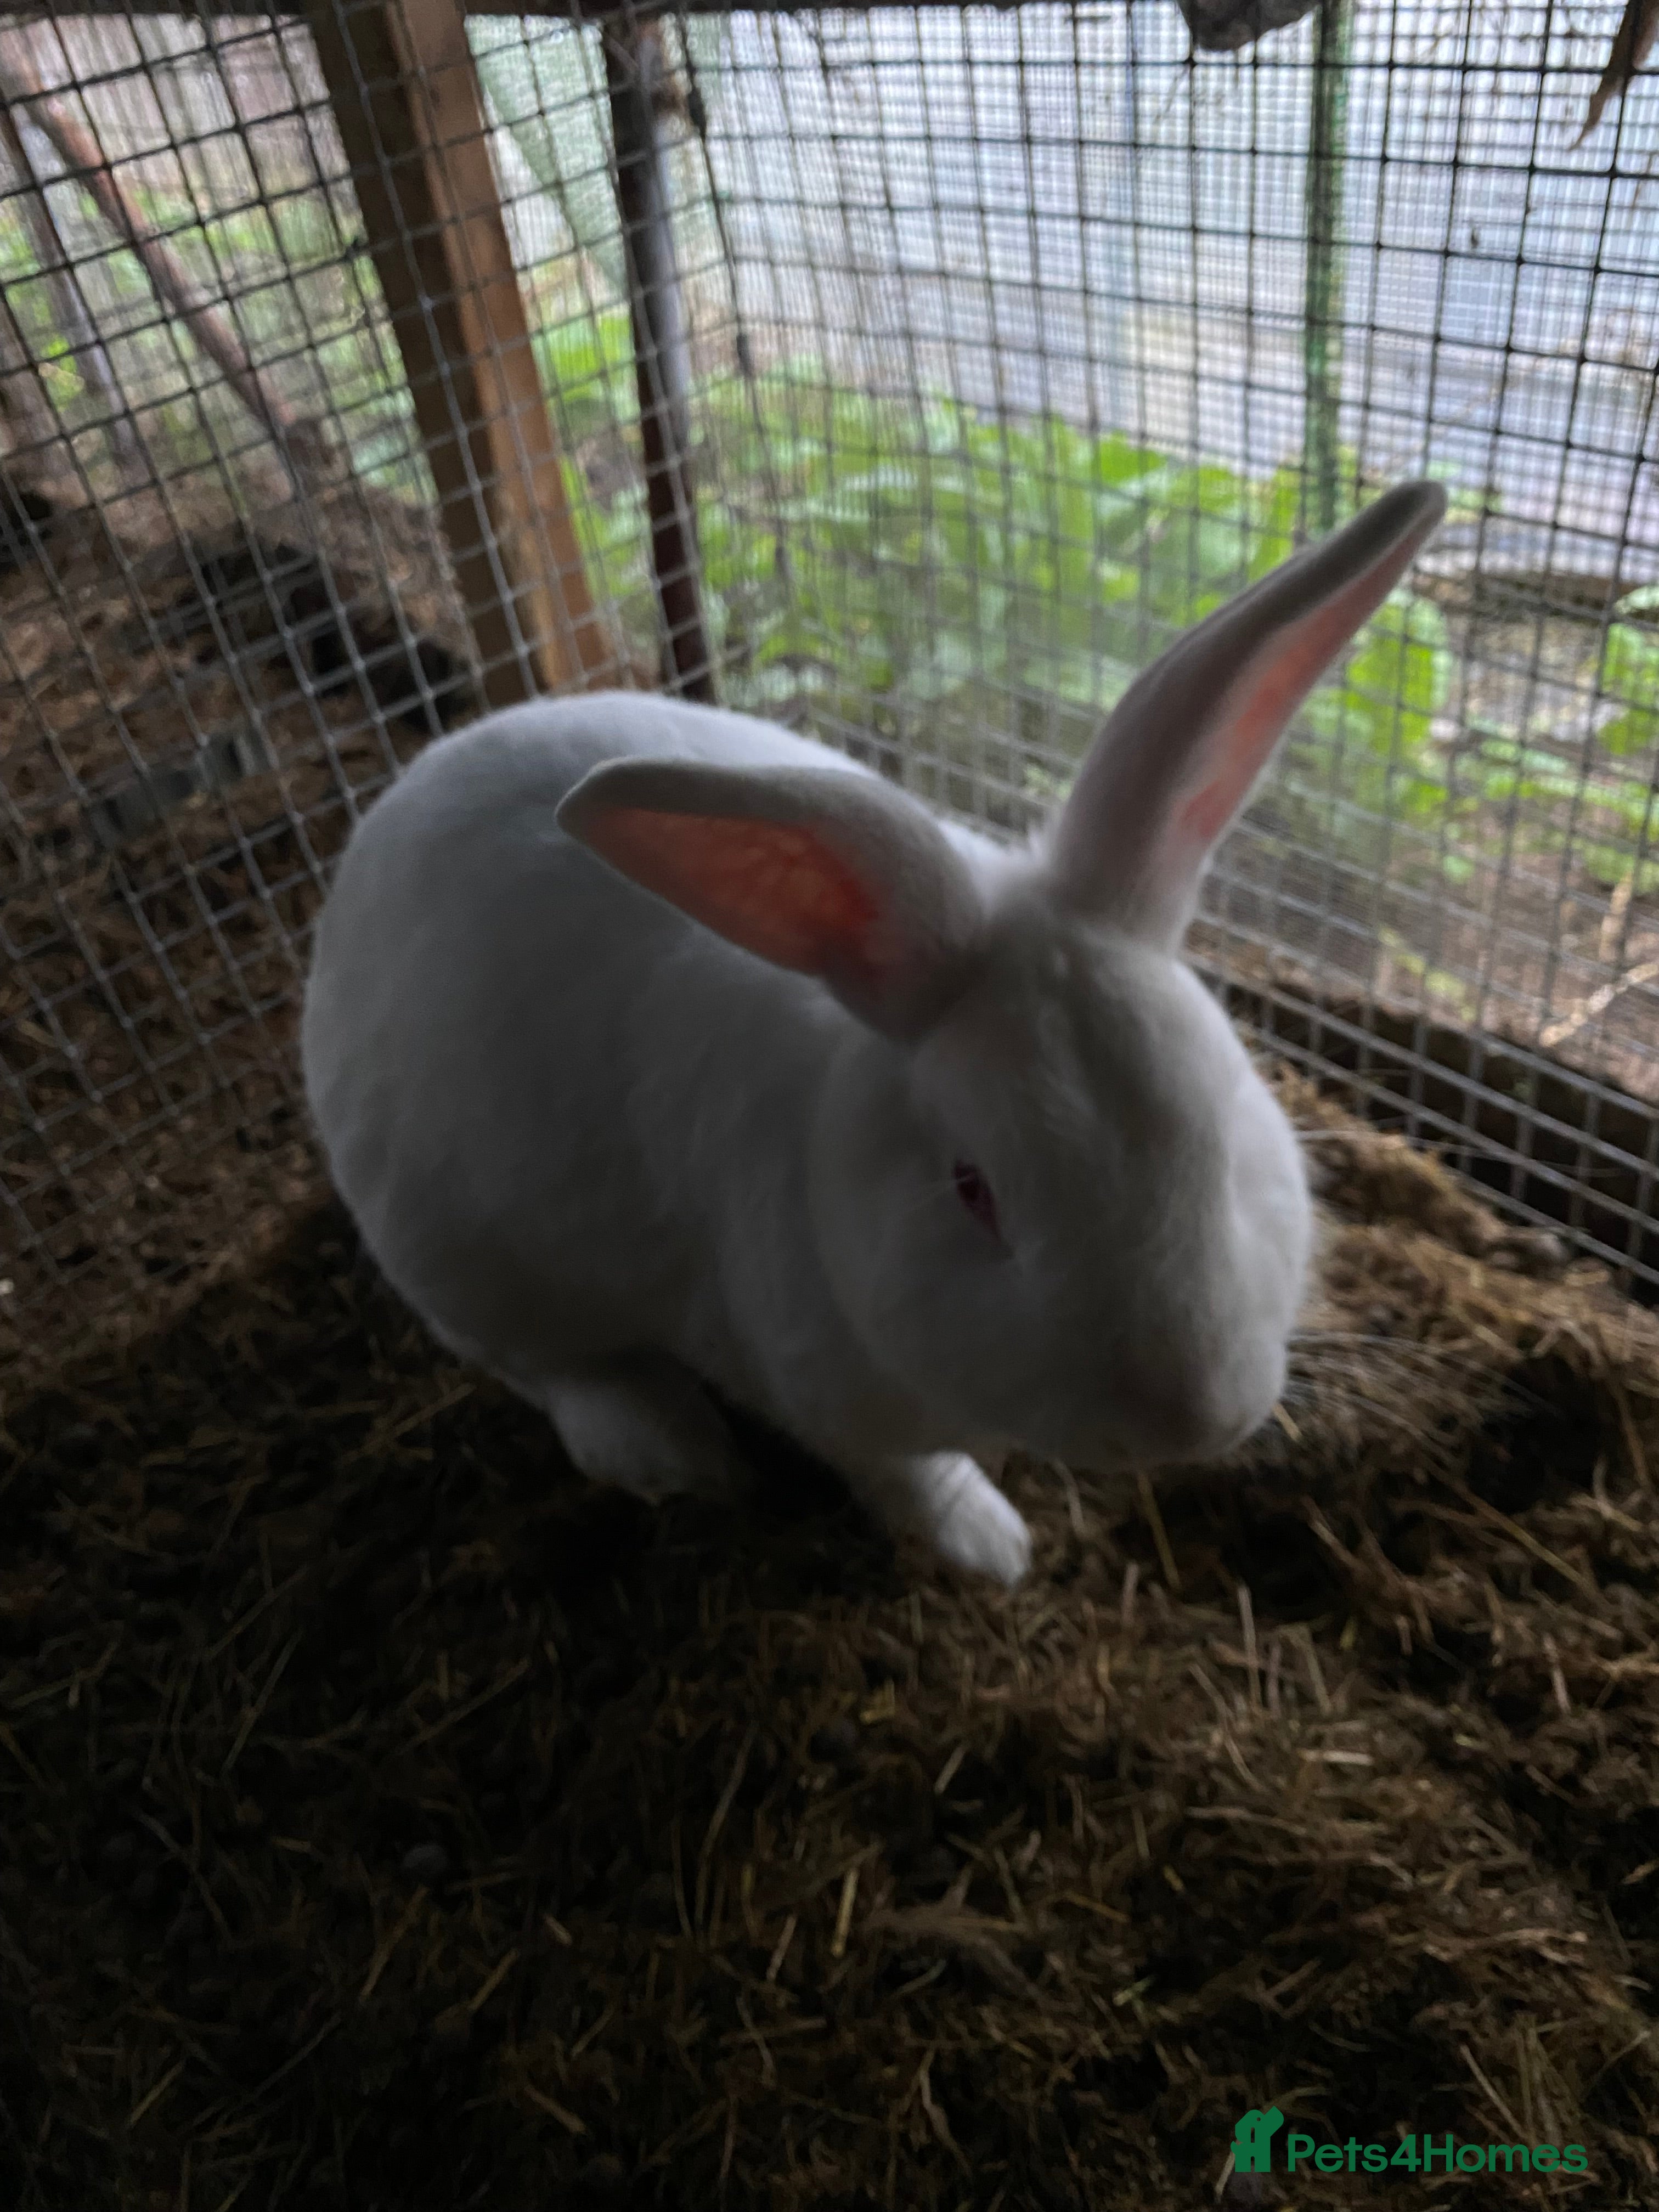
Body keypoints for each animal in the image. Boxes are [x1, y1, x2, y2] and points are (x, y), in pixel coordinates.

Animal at [301, 478, 1446, 1588]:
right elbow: (906, 1474)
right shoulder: (814, 1383)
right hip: (454, 1248)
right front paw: (992, 1549)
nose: (1188, 1417)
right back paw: (671, 1451)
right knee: (545, 1365)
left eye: (1230, 1119)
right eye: (971, 1189)